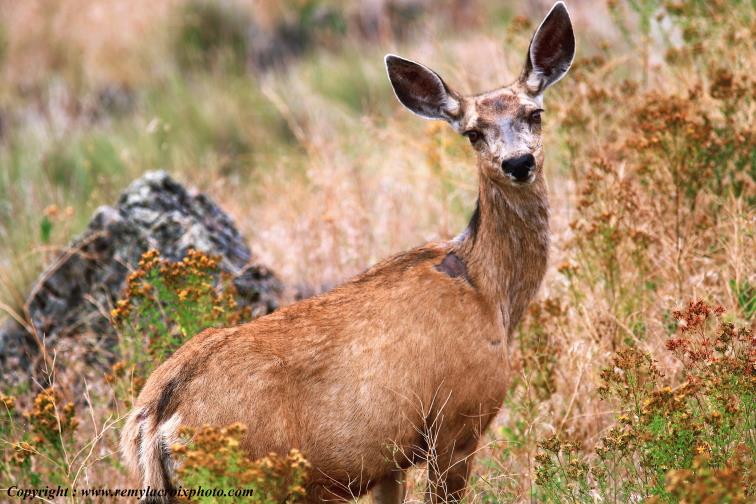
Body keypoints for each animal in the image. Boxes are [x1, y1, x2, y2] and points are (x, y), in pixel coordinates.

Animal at [121, 2, 575, 502]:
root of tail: (155, 420)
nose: (518, 162)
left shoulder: (387, 463)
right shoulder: (457, 421)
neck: (489, 291)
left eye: (535, 113)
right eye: (473, 133)